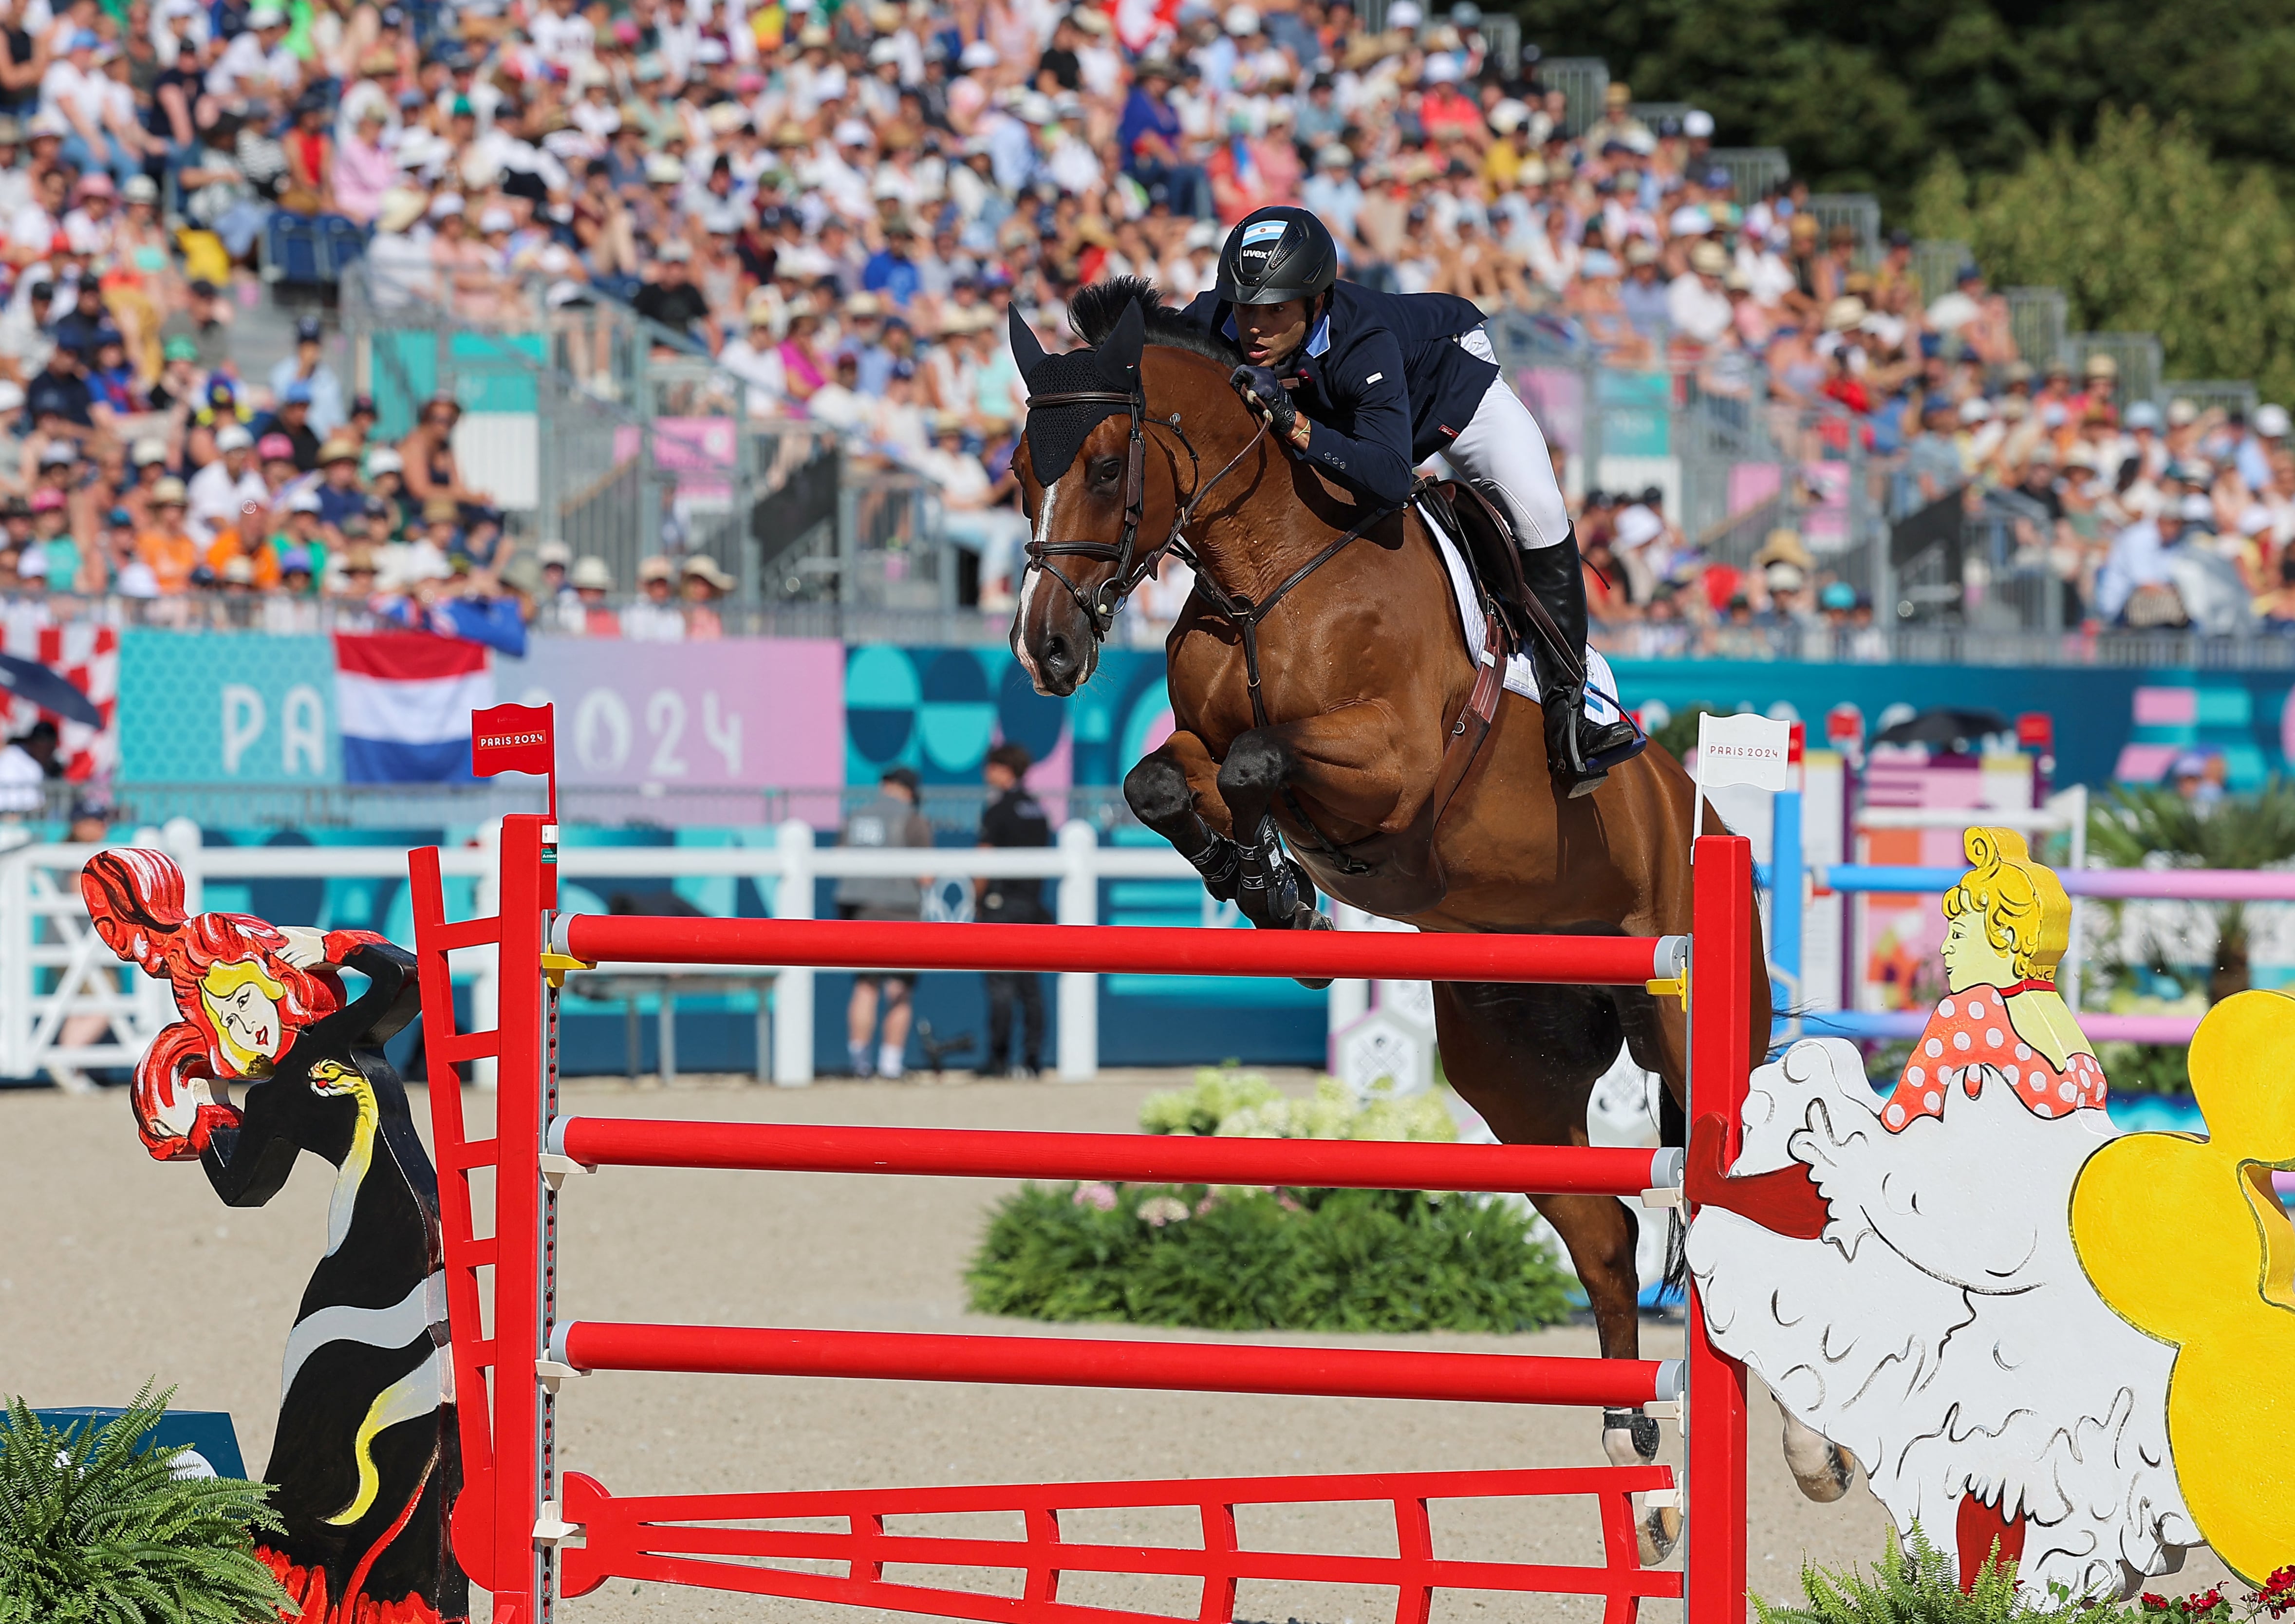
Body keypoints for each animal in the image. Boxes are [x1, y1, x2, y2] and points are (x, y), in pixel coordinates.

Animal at [1005, 282, 1772, 1560]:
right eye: (1021, 469)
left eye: (1109, 466)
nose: (1047, 651)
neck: (1270, 568)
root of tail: (1692, 806)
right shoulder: (1202, 745)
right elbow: (1164, 781)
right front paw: (1269, 892)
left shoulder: (1395, 766)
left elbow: (1263, 760)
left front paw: (1276, 881)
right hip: (1513, 1076)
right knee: (1608, 1239)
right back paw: (1643, 1473)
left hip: (1686, 1017)